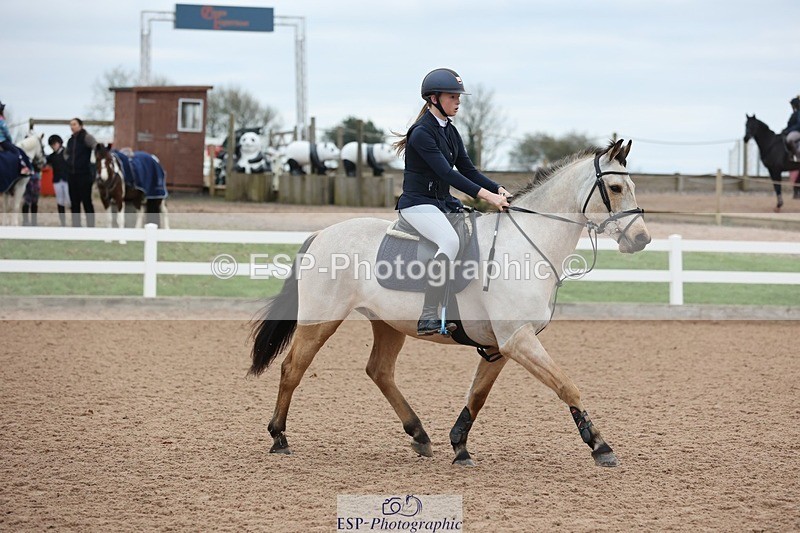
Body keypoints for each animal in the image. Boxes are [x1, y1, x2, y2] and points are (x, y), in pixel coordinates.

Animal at [249, 139, 651, 468]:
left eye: (632, 186)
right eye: (615, 187)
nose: (642, 240)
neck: (525, 244)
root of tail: (321, 234)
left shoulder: (501, 345)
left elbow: (478, 395)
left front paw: (459, 445)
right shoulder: (517, 339)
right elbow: (566, 385)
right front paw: (600, 445)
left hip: (388, 324)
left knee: (380, 371)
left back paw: (419, 435)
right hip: (322, 319)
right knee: (292, 369)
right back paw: (279, 437)